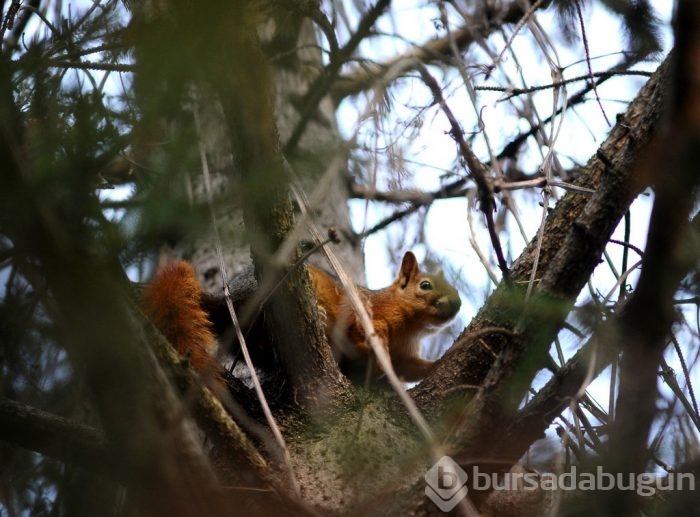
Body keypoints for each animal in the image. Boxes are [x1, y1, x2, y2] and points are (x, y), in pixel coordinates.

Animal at [142, 252, 460, 380]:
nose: (457, 304)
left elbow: (410, 369)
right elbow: (360, 326)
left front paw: (436, 365)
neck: (411, 328)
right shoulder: (364, 306)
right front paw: (375, 341)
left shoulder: (405, 354)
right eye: (425, 285)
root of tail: (225, 298)